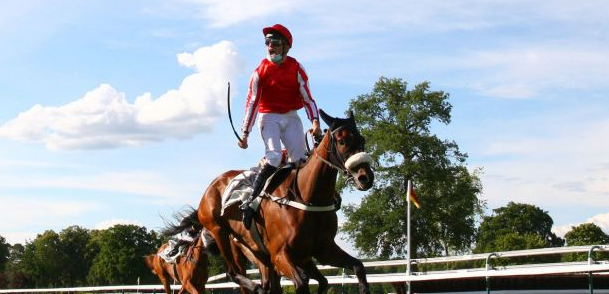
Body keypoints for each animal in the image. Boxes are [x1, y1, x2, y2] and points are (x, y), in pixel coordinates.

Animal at [195, 109, 372, 294]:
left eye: (362, 139)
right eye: (341, 141)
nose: (365, 178)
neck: (307, 198)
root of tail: (213, 184)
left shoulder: (324, 249)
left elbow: (358, 267)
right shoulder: (280, 254)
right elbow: (301, 283)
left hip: (258, 252)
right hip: (219, 231)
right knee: (233, 272)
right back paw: (257, 287)